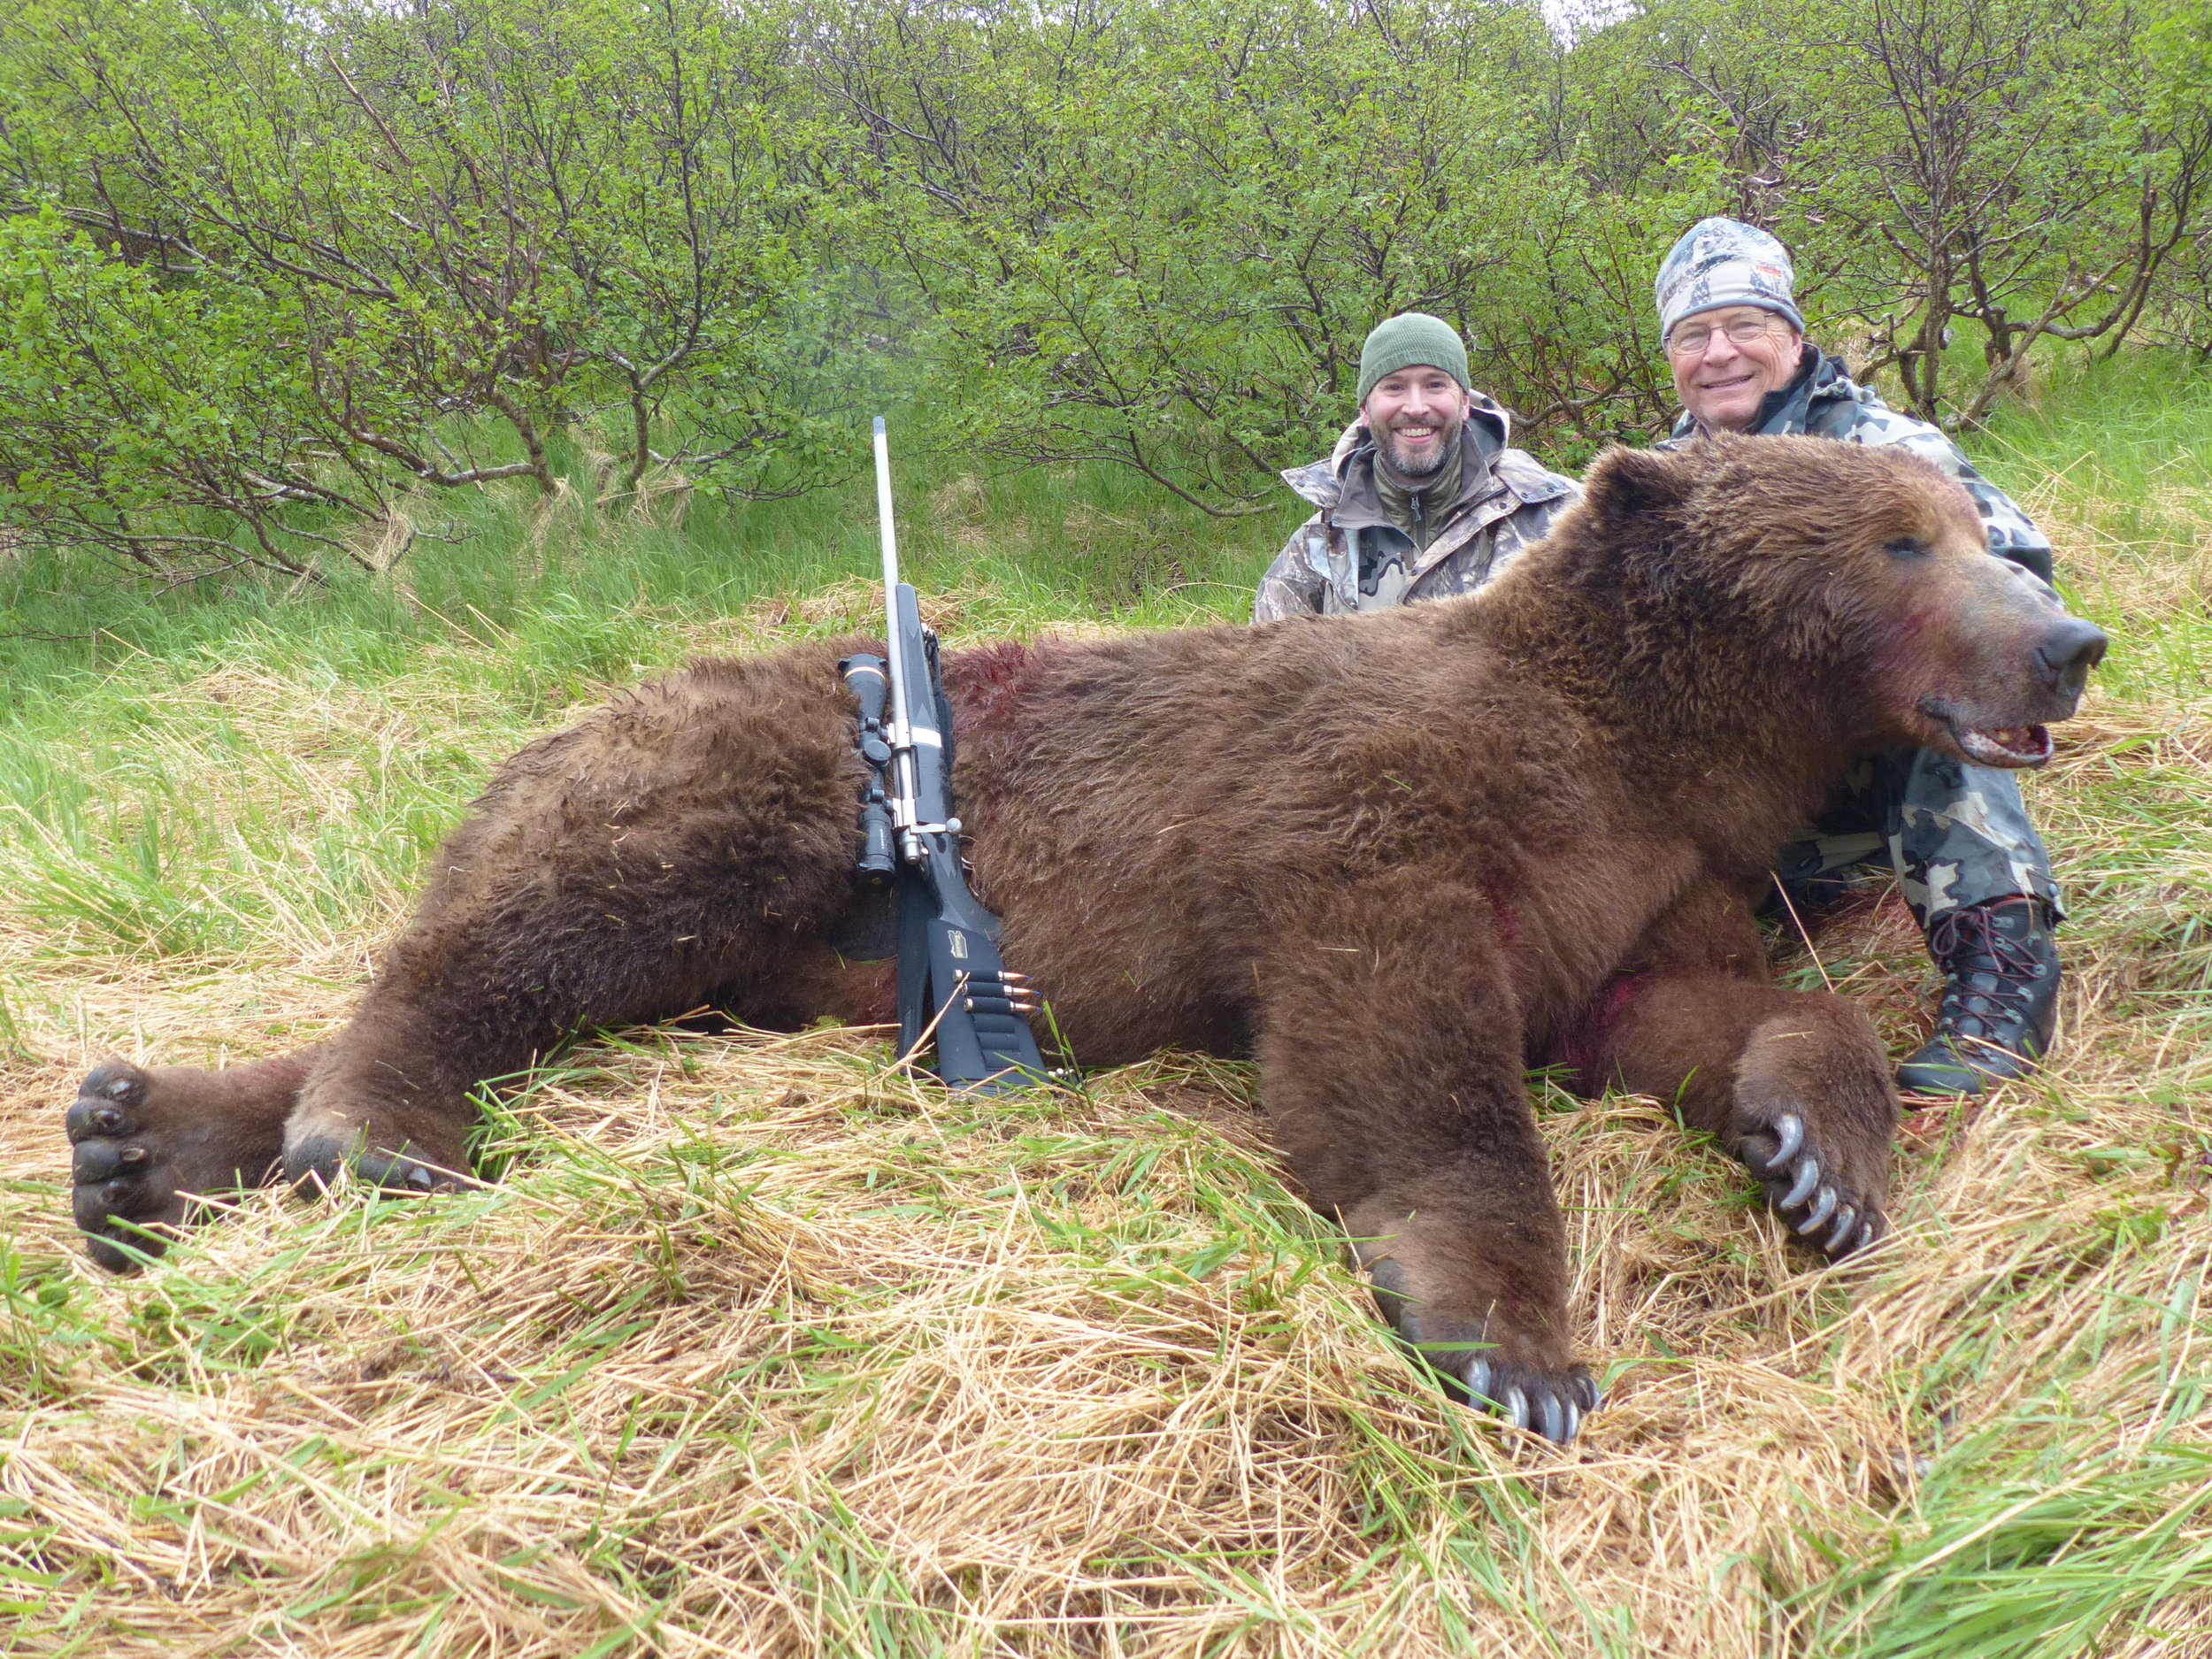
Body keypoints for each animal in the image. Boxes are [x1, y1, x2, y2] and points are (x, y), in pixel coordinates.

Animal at [63, 434, 2105, 1446]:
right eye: (1901, 541)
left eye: (1957, 522)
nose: (2068, 639)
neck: (1636, 737)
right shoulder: (1378, 818)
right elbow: (1398, 1037)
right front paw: (1508, 1337)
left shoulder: (1643, 875)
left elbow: (1692, 1009)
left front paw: (1819, 1157)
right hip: (740, 787)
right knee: (538, 924)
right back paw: (363, 1125)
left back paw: (135, 1134)